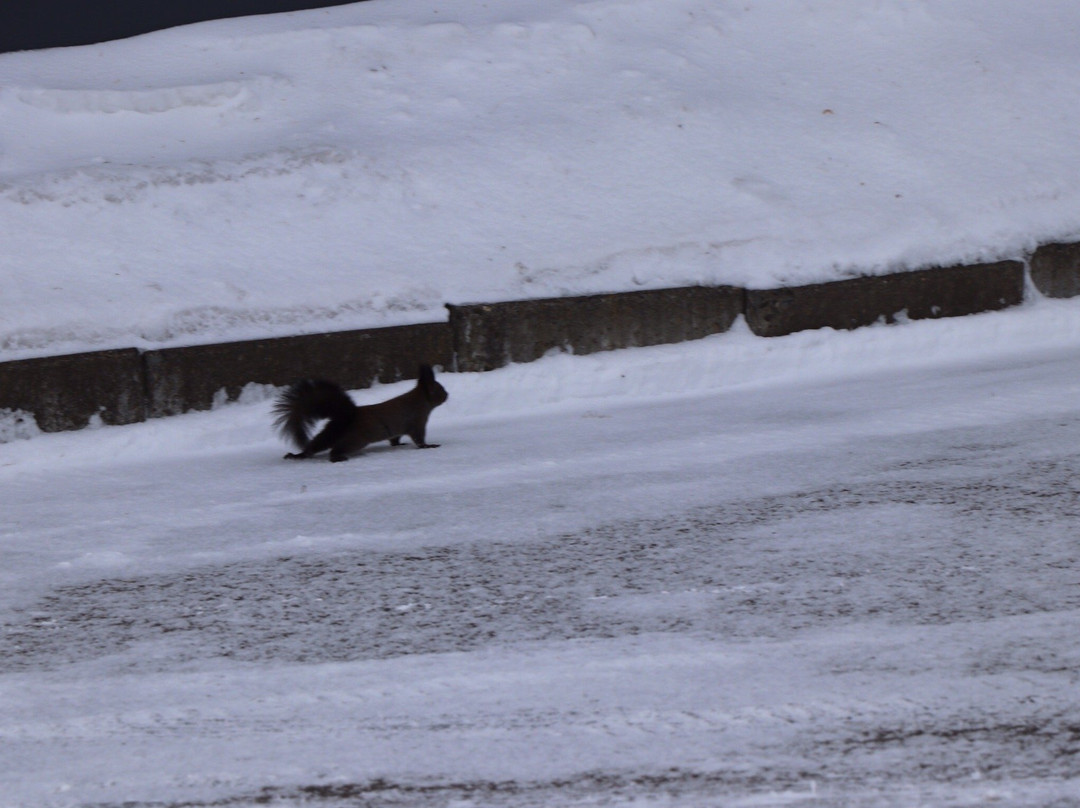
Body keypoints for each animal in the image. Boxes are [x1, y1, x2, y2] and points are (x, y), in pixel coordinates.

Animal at [278, 365, 451, 460]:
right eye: (439, 390)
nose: (447, 395)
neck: (420, 400)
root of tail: (348, 416)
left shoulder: (399, 429)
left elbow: (395, 439)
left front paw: (399, 444)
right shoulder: (416, 422)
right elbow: (419, 439)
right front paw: (429, 446)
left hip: (330, 432)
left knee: (316, 445)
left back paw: (297, 456)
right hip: (356, 439)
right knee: (336, 449)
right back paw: (337, 458)